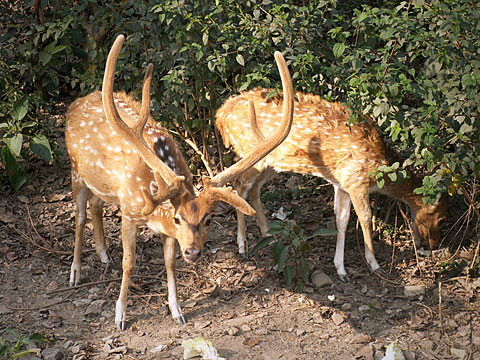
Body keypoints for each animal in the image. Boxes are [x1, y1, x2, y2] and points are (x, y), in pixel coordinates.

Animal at [65, 35, 294, 330]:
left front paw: (177, 311)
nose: (194, 252)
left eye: (208, 219)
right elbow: (130, 263)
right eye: (177, 218)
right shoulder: (129, 211)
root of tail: (74, 104)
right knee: (79, 215)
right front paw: (120, 316)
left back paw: (104, 254)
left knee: (96, 205)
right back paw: (75, 273)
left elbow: (170, 263)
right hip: (75, 170)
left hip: (101, 183)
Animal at [216, 90, 448, 282]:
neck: (382, 168)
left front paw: (340, 270)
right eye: (442, 218)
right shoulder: (356, 181)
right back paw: (242, 246)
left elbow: (341, 220)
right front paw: (375, 265)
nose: (434, 244)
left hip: (271, 162)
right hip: (249, 150)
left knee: (253, 188)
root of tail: (221, 115)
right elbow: (365, 218)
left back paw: (268, 234)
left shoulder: (342, 184)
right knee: (238, 185)